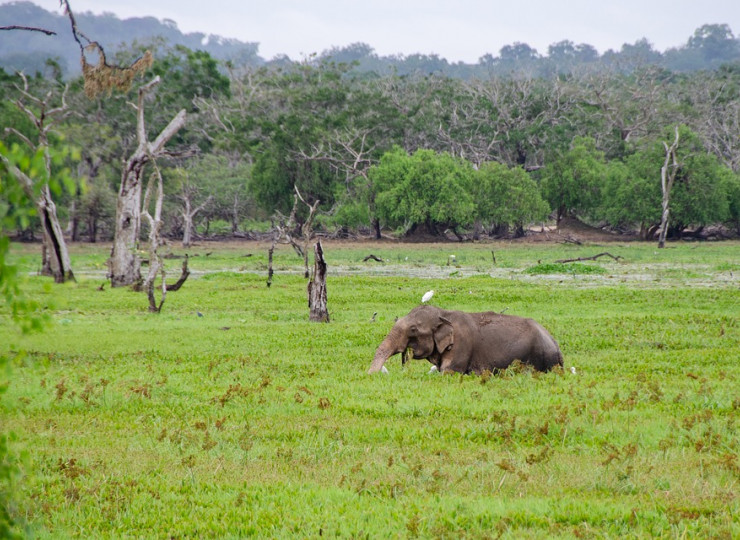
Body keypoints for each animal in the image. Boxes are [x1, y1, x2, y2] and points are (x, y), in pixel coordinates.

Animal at [368, 304, 564, 376]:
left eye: (413, 329)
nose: (372, 375)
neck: (444, 313)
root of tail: (555, 343)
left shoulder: (462, 345)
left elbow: (449, 371)